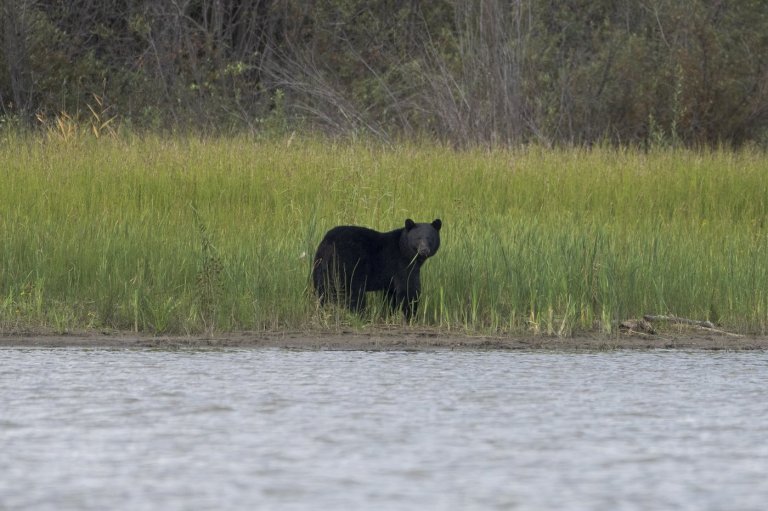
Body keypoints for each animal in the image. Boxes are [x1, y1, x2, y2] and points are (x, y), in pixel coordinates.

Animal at [312, 218, 442, 319]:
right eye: (418, 238)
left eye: (430, 238)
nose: (424, 250)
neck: (403, 248)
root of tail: (329, 243)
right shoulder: (402, 264)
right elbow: (408, 289)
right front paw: (411, 316)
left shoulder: (391, 278)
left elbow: (391, 294)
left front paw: (391, 314)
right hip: (348, 266)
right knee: (354, 293)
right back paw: (360, 315)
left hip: (321, 265)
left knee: (323, 290)